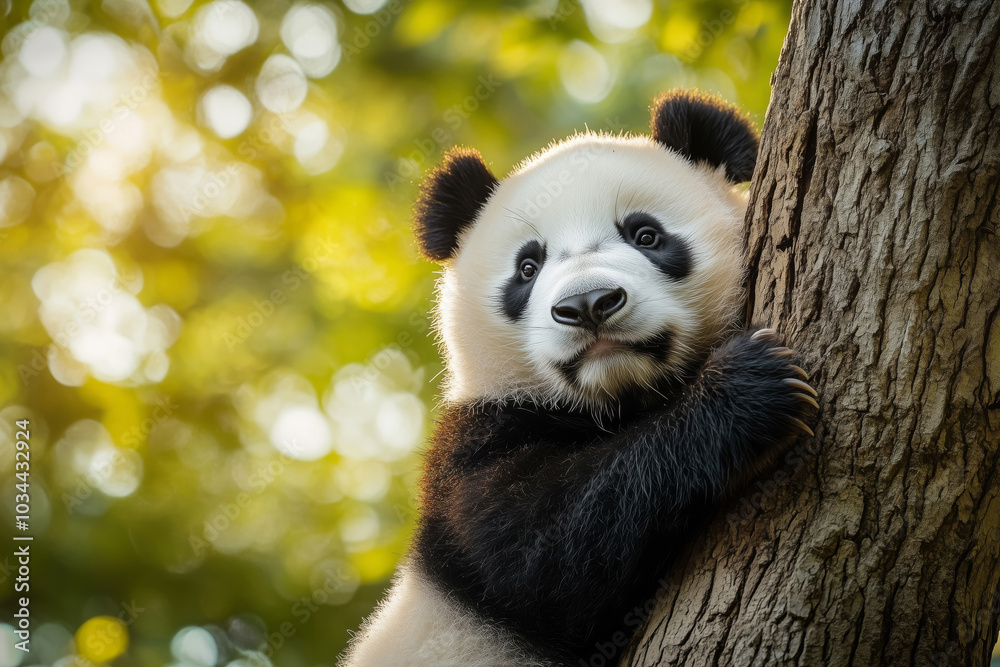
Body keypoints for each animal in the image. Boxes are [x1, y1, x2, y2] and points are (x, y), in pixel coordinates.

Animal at [340, 89, 817, 667]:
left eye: (646, 234)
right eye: (527, 268)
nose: (588, 304)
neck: (620, 395)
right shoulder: (473, 452)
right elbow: (547, 554)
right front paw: (749, 392)